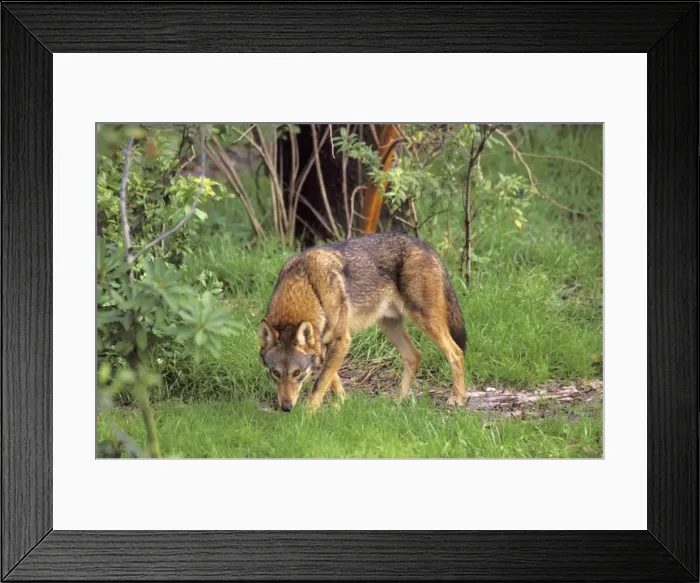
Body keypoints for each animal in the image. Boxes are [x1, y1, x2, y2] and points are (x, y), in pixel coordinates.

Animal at [258, 232, 467, 412]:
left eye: (297, 373)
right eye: (275, 373)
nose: (286, 408)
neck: (310, 288)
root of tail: (426, 246)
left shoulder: (341, 340)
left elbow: (319, 384)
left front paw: (308, 416)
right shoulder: (325, 346)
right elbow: (332, 380)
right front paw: (342, 404)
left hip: (425, 321)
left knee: (456, 353)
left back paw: (458, 398)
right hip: (389, 325)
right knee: (414, 356)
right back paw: (398, 400)